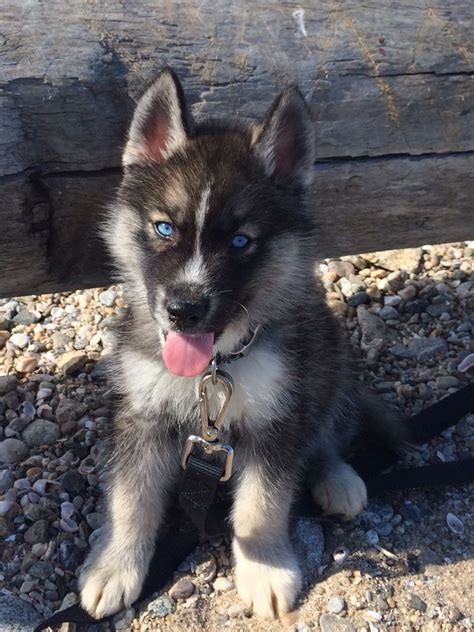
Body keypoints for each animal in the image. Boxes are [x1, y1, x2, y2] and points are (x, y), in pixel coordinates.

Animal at [78, 68, 404, 616]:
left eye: (240, 242)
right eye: (164, 228)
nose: (184, 310)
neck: (217, 366)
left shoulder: (278, 417)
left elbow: (261, 506)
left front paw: (265, 569)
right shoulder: (142, 415)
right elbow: (131, 498)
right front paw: (114, 566)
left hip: (327, 365)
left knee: (326, 434)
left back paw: (337, 478)